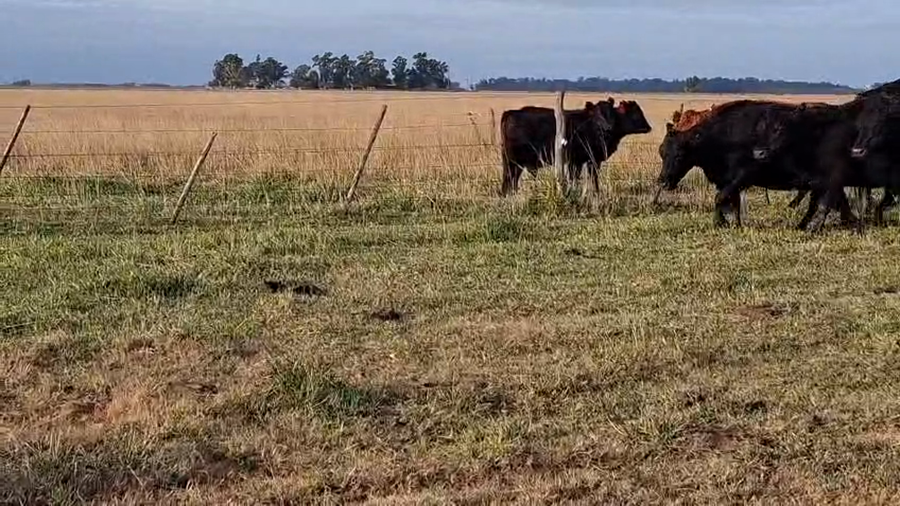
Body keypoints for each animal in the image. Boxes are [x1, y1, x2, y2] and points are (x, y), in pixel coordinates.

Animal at [500, 98, 652, 196]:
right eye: (636, 114)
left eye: (611, 114)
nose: (648, 127)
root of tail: (511, 112)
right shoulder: (586, 160)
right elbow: (587, 177)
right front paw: (593, 192)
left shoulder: (582, 161)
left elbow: (581, 177)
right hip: (514, 161)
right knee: (510, 177)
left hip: (515, 162)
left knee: (512, 178)